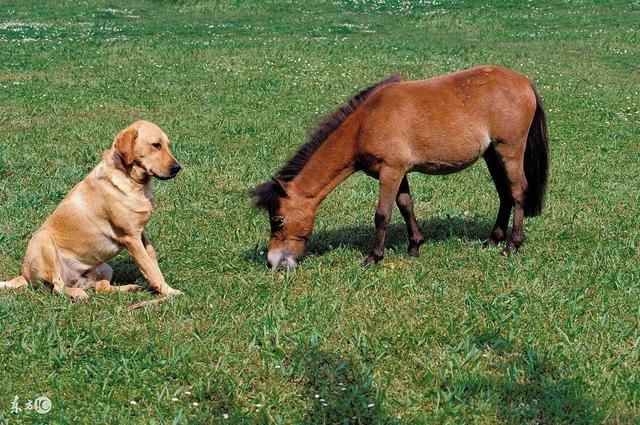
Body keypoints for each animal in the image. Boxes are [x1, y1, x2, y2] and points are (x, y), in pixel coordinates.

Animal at [0, 119, 185, 298]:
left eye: (167, 145)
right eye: (156, 145)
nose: (177, 168)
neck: (131, 181)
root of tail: (24, 275)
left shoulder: (141, 234)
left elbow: (152, 261)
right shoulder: (131, 238)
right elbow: (150, 268)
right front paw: (170, 292)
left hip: (104, 267)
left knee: (101, 288)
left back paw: (128, 288)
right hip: (44, 241)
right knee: (58, 287)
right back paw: (77, 294)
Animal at [249, 65, 544, 268]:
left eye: (277, 220)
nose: (273, 262)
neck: (366, 122)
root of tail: (525, 82)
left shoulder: (390, 171)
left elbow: (383, 214)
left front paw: (373, 257)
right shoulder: (399, 172)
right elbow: (405, 206)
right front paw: (414, 247)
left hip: (509, 150)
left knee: (518, 192)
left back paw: (512, 245)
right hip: (492, 154)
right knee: (504, 194)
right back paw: (492, 239)